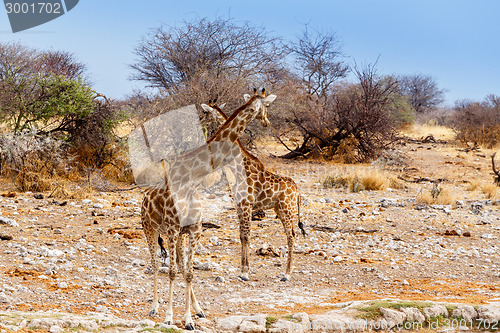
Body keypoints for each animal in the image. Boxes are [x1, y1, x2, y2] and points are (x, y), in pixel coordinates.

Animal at [140, 89, 278, 330]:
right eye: (264, 107)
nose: (266, 121)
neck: (191, 181)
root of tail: (144, 196)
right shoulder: (173, 229)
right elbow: (172, 272)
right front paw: (169, 317)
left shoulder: (194, 230)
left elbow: (189, 273)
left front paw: (188, 319)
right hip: (151, 229)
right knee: (156, 265)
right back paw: (155, 308)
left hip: (177, 235)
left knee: (180, 265)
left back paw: (198, 309)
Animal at [199, 98, 304, 280]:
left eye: (205, 112)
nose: (200, 120)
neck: (236, 164)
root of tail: (297, 191)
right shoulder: (239, 205)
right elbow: (242, 236)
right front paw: (242, 270)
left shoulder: (247, 205)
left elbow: (247, 236)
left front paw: (246, 272)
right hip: (279, 209)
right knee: (291, 233)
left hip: (287, 210)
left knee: (291, 235)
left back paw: (287, 273)